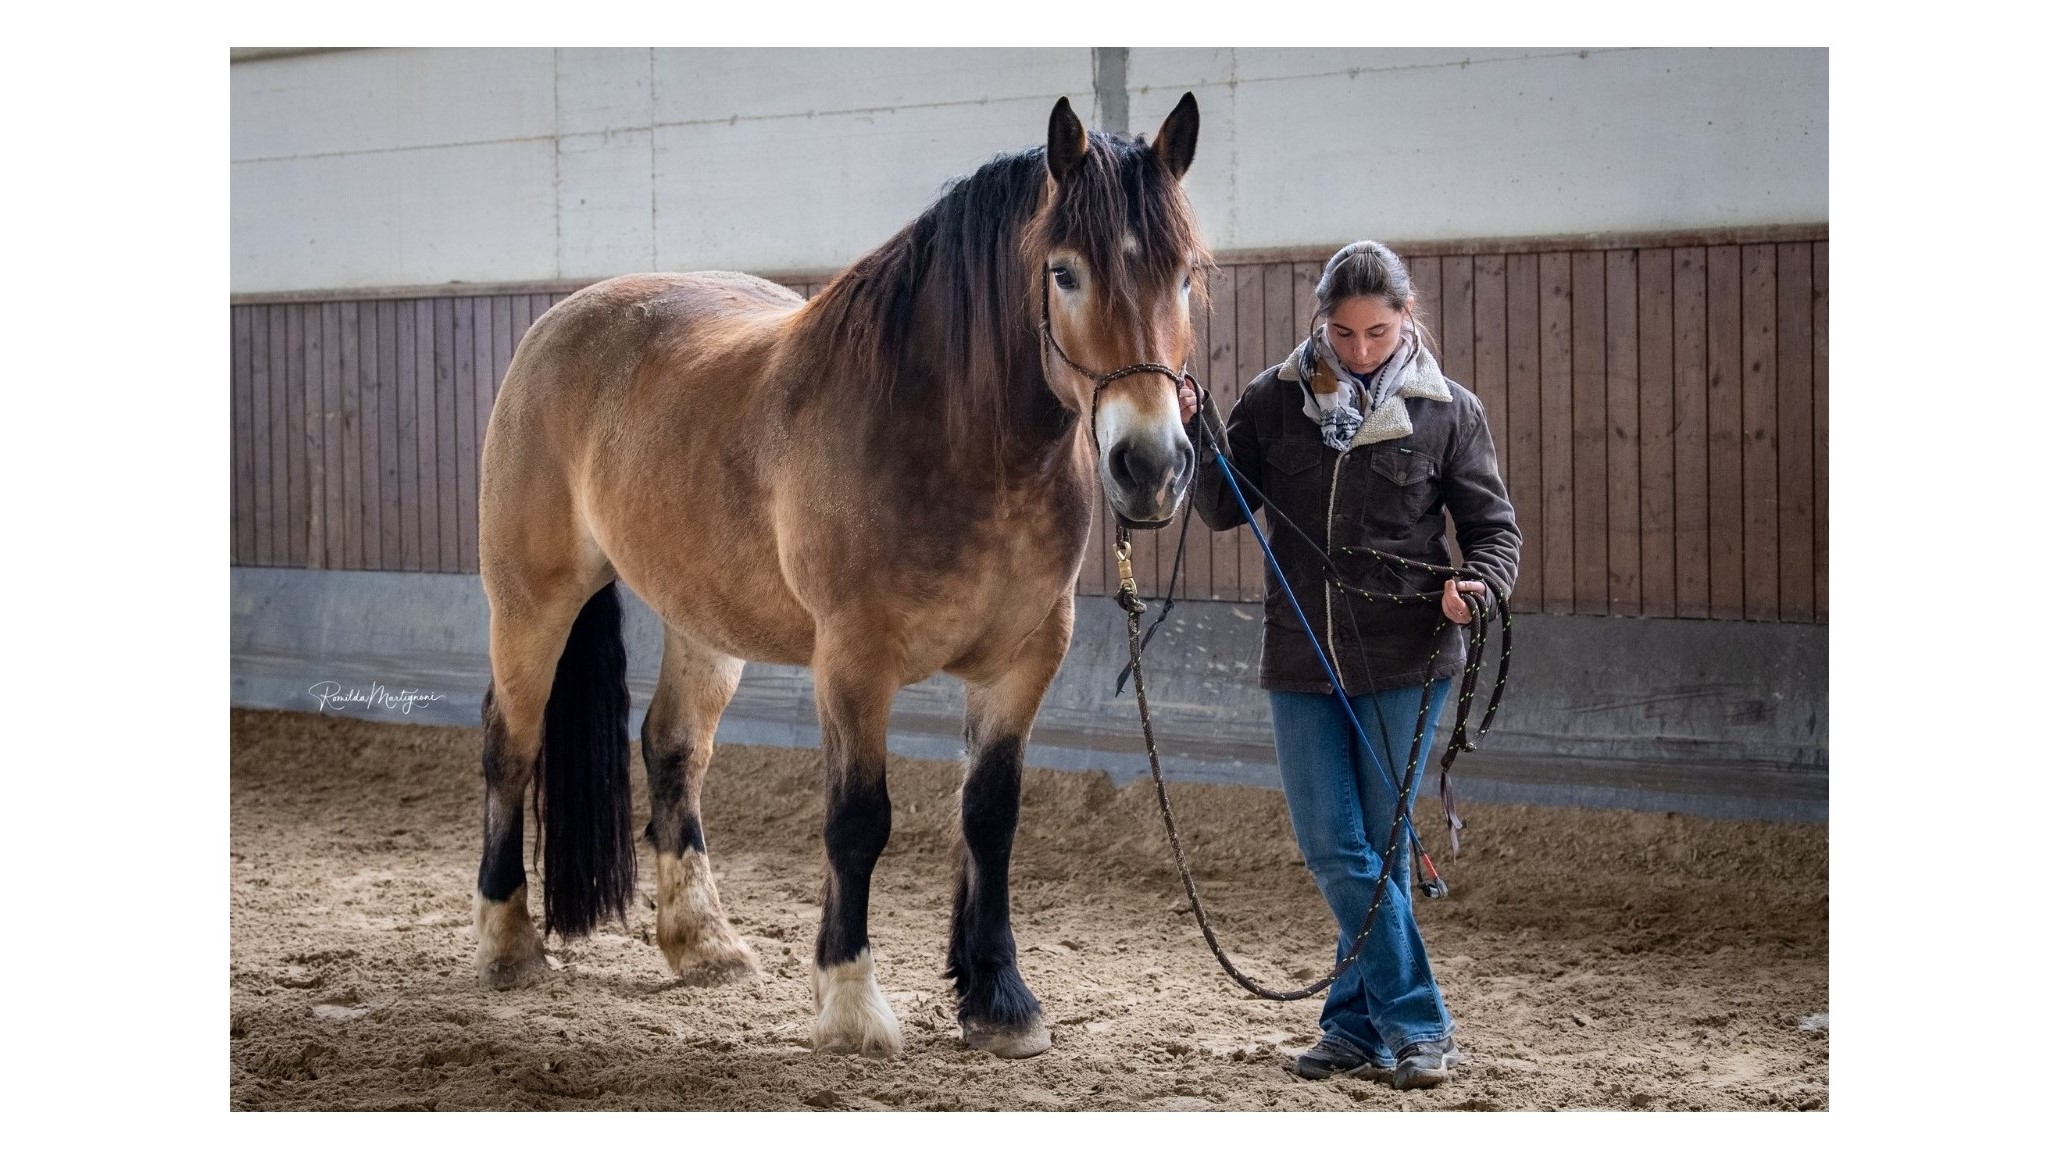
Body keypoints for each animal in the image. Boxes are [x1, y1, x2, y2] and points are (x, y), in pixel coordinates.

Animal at [472, 93, 1208, 1059]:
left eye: (1188, 274)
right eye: (1064, 273)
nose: (1149, 465)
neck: (957, 443)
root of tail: (558, 325)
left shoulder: (1025, 661)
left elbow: (991, 817)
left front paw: (999, 999)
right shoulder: (855, 661)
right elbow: (859, 821)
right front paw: (853, 1003)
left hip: (704, 623)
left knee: (674, 748)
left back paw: (704, 944)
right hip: (531, 601)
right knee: (510, 745)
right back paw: (507, 944)